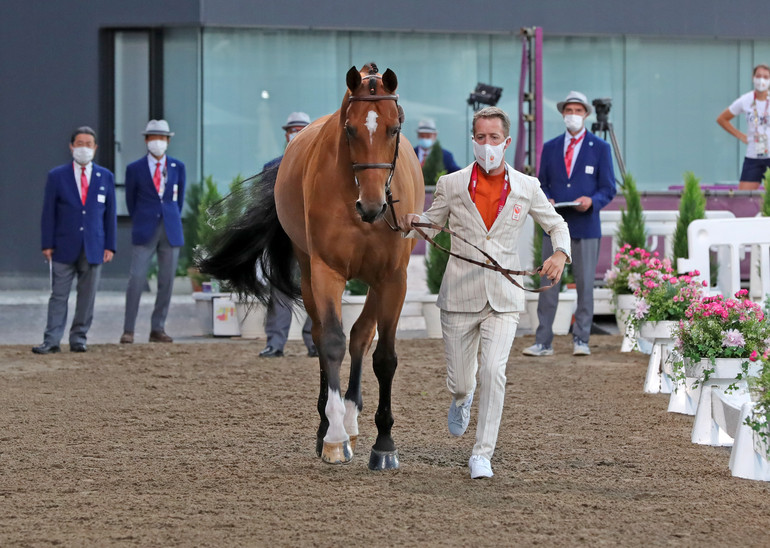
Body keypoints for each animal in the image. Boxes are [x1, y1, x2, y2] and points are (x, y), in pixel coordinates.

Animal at [201, 62, 424, 468]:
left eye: (394, 127)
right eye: (350, 129)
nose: (372, 206)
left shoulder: (393, 278)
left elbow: (384, 357)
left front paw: (384, 444)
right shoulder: (325, 271)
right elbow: (332, 342)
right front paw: (333, 439)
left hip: (375, 282)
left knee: (362, 334)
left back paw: (351, 417)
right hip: (308, 273)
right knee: (324, 337)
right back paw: (329, 424)